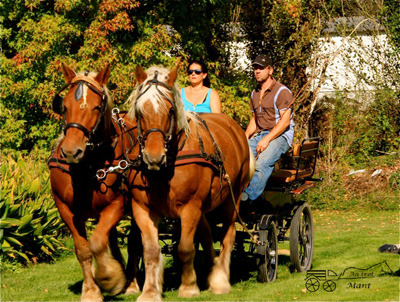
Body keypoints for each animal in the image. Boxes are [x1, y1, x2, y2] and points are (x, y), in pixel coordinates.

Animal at [48, 62, 141, 300]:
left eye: (96, 107)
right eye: (65, 106)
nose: (72, 151)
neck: (88, 167)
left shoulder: (116, 205)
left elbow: (98, 242)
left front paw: (110, 278)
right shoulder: (65, 209)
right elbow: (83, 249)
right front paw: (90, 290)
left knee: (135, 241)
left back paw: (131, 281)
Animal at [124, 62, 253, 300]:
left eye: (170, 110)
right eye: (139, 111)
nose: (154, 157)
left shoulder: (190, 207)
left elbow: (185, 248)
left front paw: (188, 287)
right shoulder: (142, 209)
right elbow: (151, 250)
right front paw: (150, 291)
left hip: (233, 199)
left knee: (228, 235)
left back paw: (220, 280)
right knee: (208, 234)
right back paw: (212, 270)